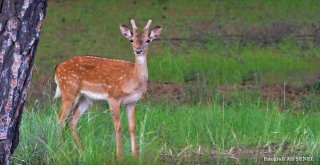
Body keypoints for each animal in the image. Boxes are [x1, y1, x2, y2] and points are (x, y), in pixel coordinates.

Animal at [54, 19, 162, 159]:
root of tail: (57, 67)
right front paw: (119, 155)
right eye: (131, 40)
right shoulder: (113, 97)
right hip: (68, 90)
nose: (138, 50)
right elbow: (118, 126)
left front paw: (135, 156)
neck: (131, 80)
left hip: (86, 98)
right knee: (60, 118)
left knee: (72, 121)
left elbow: (132, 127)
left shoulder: (132, 101)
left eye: (148, 40)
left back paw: (82, 151)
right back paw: (59, 148)